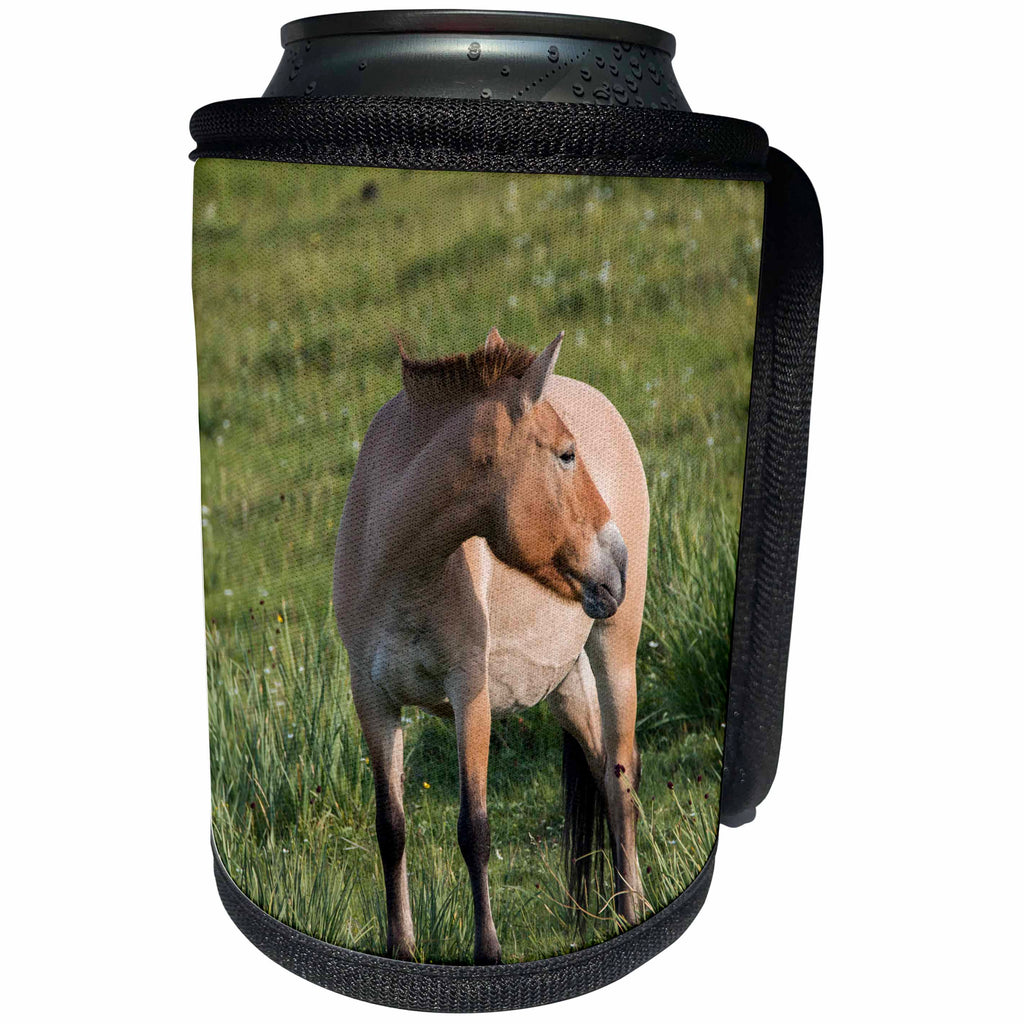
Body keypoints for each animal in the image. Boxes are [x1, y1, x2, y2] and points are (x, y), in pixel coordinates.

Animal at [333, 327, 650, 964]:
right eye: (565, 454)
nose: (619, 562)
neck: (398, 568)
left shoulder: (469, 696)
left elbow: (473, 828)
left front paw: (488, 952)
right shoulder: (372, 701)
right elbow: (390, 827)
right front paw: (400, 948)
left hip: (614, 651)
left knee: (622, 775)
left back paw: (632, 910)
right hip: (565, 682)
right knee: (602, 769)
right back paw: (603, 912)